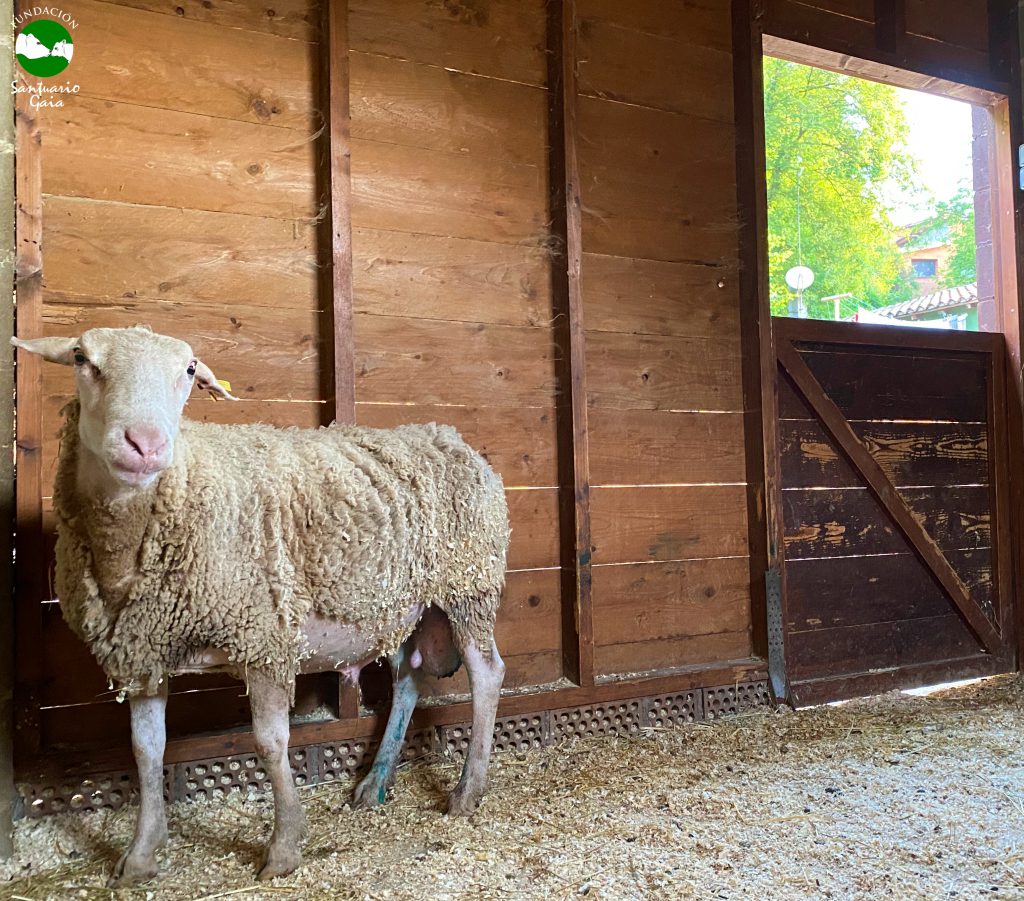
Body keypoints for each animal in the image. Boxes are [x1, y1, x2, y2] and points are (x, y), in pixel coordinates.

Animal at [12, 327, 512, 884]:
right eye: (82, 358)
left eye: (189, 370)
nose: (145, 444)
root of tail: (450, 435)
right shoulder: (144, 653)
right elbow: (145, 751)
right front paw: (140, 856)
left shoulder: (264, 635)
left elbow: (271, 744)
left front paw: (284, 847)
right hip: (404, 606)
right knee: (407, 679)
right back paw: (374, 784)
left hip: (469, 585)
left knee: (487, 674)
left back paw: (468, 791)